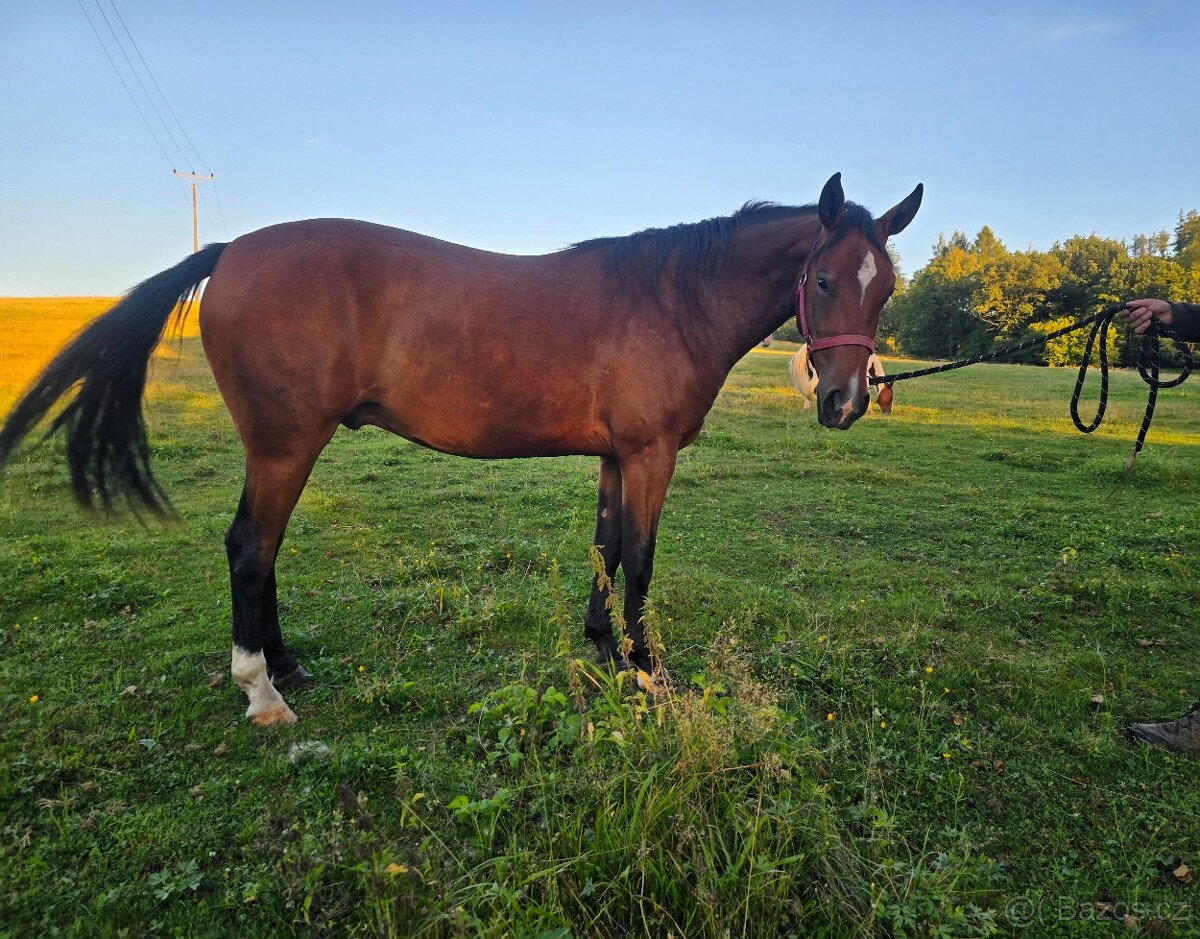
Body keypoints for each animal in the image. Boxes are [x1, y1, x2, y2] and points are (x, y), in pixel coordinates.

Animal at [0, 172, 922, 726]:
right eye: (824, 279)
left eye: (886, 285)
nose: (845, 401)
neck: (668, 298)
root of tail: (230, 254)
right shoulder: (651, 454)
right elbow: (642, 560)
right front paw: (646, 669)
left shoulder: (614, 455)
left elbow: (604, 547)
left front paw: (600, 649)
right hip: (285, 446)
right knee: (251, 546)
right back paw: (262, 690)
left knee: (261, 548)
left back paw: (284, 664)